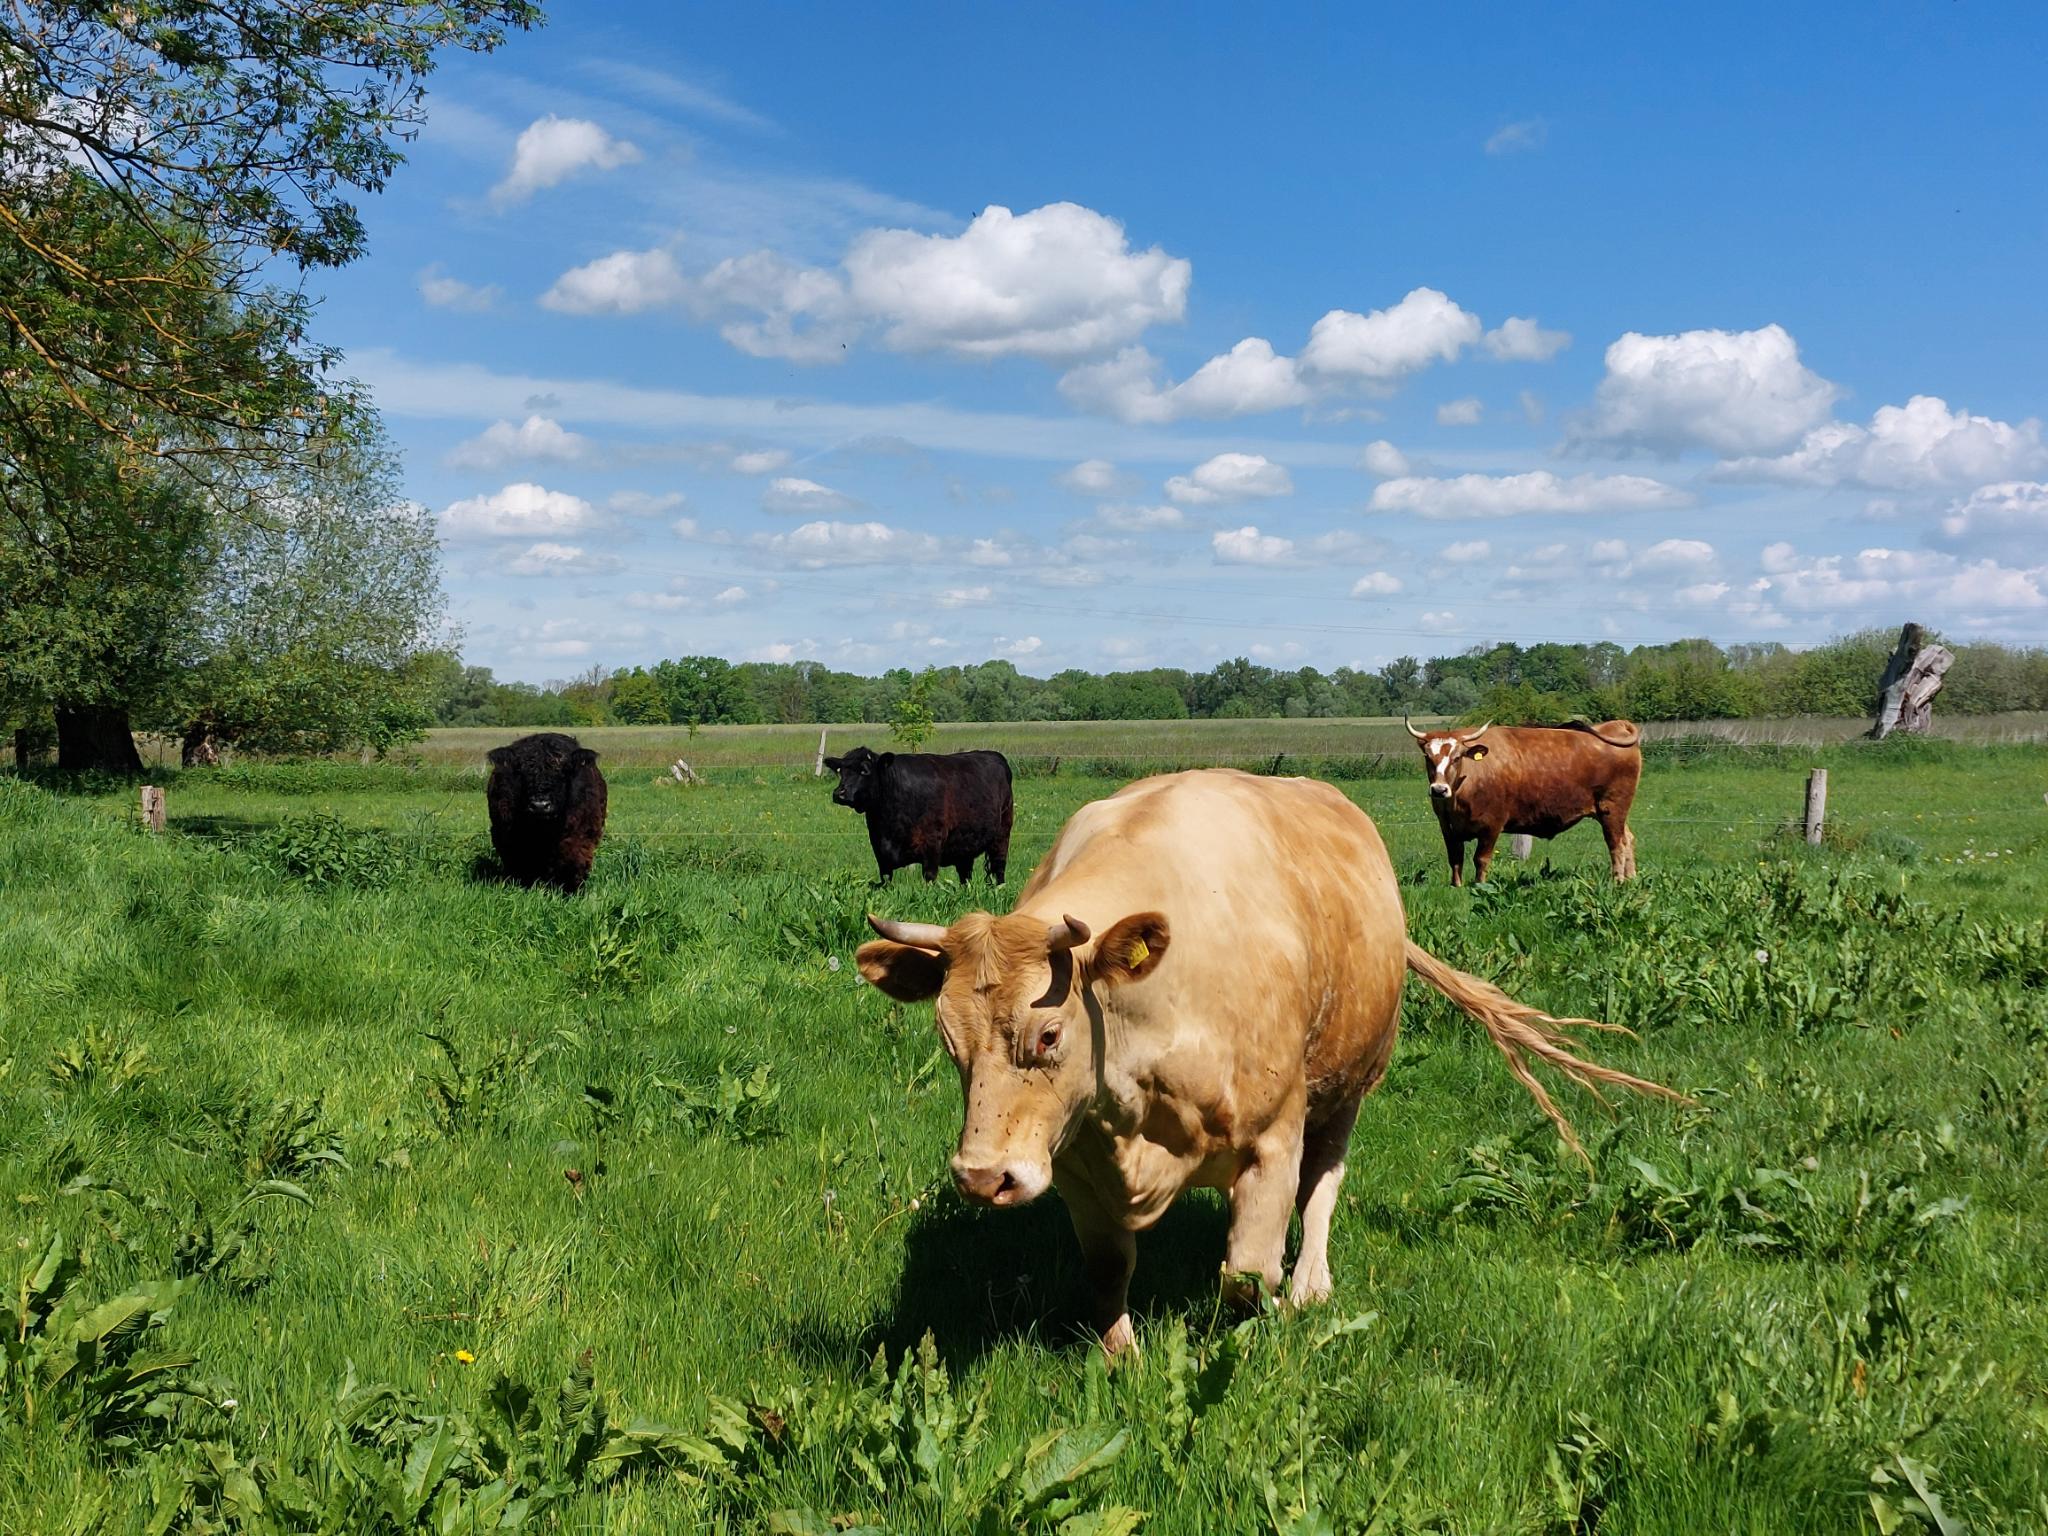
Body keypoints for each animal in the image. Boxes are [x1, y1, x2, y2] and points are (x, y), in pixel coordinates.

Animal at [485, 732, 608, 893]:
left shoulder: (579, 838)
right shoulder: (507, 837)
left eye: (564, 771)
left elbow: (572, 865)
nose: (540, 806)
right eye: (520, 772)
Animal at [822, 746, 1013, 885]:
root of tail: (994, 754)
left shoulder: (932, 844)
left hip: (1002, 834)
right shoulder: (879, 849)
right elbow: (886, 879)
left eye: (865, 771)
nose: (839, 793)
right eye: (840, 771)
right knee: (965, 874)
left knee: (999, 867)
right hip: (965, 842)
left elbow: (929, 877)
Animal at [855, 768, 1682, 1356]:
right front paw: (1125, 1360)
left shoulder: (1273, 1142)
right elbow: (1109, 1272)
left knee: (1323, 1186)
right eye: (947, 1038)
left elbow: (1248, 1277)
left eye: (1050, 1033)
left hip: (1348, 1087)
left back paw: (1311, 1282)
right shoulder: (1079, 1167)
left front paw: (1271, 1316)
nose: (981, 1177)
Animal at [1407, 718, 1642, 886]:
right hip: (1611, 813)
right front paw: (1457, 887)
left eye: (1457, 757)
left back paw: (1618, 881)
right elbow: (1455, 859)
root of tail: (1615, 725)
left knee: (1616, 844)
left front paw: (1479, 887)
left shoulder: (1491, 826)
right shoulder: (1447, 828)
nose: (1439, 789)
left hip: (1612, 808)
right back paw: (1631, 878)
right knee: (1628, 838)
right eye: (1428, 757)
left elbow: (1481, 860)